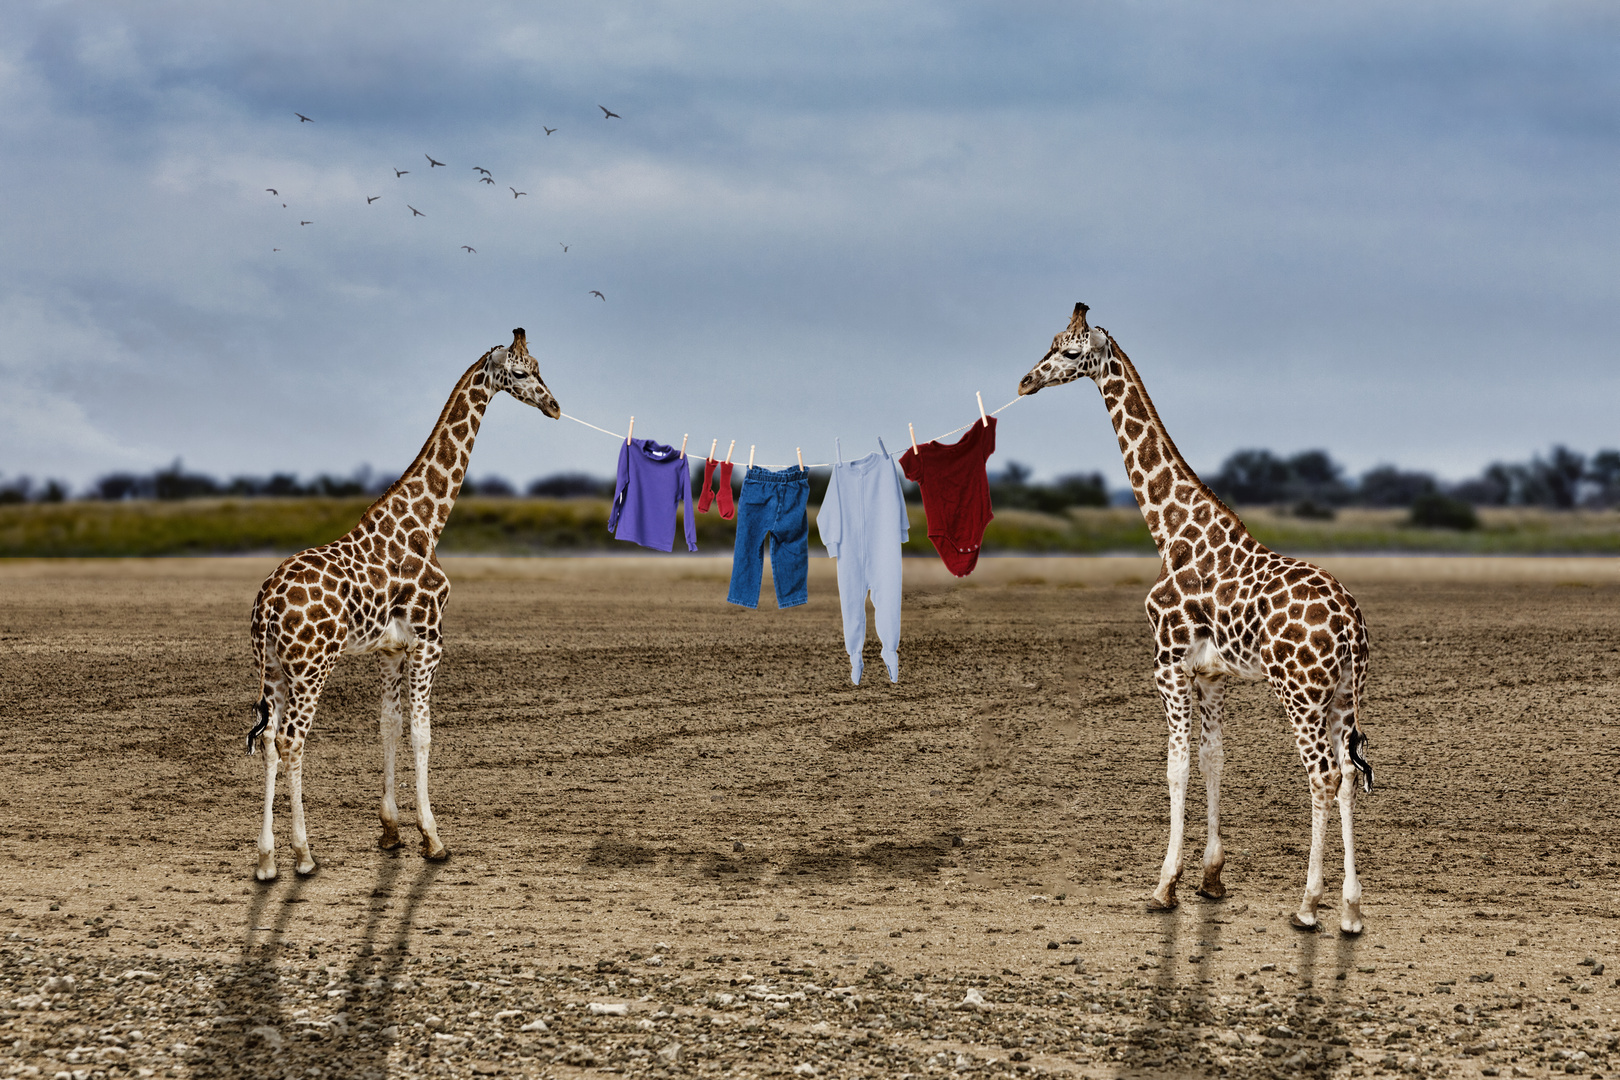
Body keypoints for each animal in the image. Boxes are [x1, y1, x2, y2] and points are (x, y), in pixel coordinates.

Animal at [246, 333, 560, 880]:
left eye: (540, 364)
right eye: (520, 373)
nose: (555, 406)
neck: (427, 523)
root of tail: (266, 603)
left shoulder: (392, 648)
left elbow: (388, 726)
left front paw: (391, 831)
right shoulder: (431, 639)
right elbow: (422, 732)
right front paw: (432, 839)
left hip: (275, 667)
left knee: (267, 740)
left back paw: (266, 861)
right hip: (311, 666)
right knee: (290, 741)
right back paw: (303, 855)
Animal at [1017, 304, 1373, 939]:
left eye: (1067, 351)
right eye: (1052, 342)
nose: (1025, 381)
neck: (1171, 533)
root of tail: (1353, 625)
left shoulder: (1167, 662)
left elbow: (1176, 767)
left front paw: (1164, 886)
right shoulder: (1210, 674)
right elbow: (1213, 761)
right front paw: (1210, 879)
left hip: (1300, 693)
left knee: (1324, 777)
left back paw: (1309, 906)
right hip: (1341, 696)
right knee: (1351, 777)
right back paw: (1351, 912)